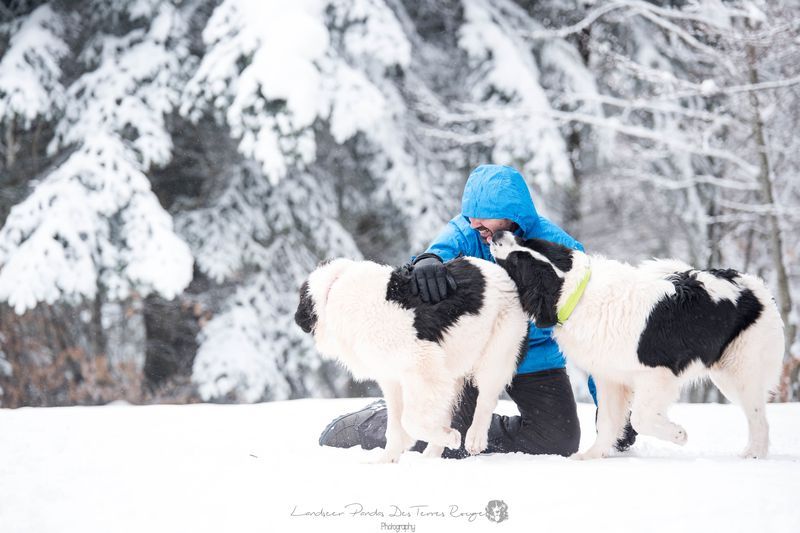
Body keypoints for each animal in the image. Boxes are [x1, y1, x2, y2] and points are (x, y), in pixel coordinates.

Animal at [296, 256, 528, 462]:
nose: (296, 320)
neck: (334, 289)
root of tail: (501, 272)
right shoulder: (393, 378)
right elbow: (396, 425)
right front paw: (386, 460)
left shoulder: (422, 366)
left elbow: (409, 421)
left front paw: (451, 437)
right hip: (452, 365)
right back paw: (431, 454)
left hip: (495, 354)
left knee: (486, 399)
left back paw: (473, 439)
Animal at [488, 231, 780, 460]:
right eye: (524, 240)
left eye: (517, 259)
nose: (497, 234)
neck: (574, 292)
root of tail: (752, 284)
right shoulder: (609, 377)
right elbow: (607, 419)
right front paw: (594, 455)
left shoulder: (657, 374)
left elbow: (640, 417)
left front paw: (679, 434)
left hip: (739, 371)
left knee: (758, 416)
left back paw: (754, 454)